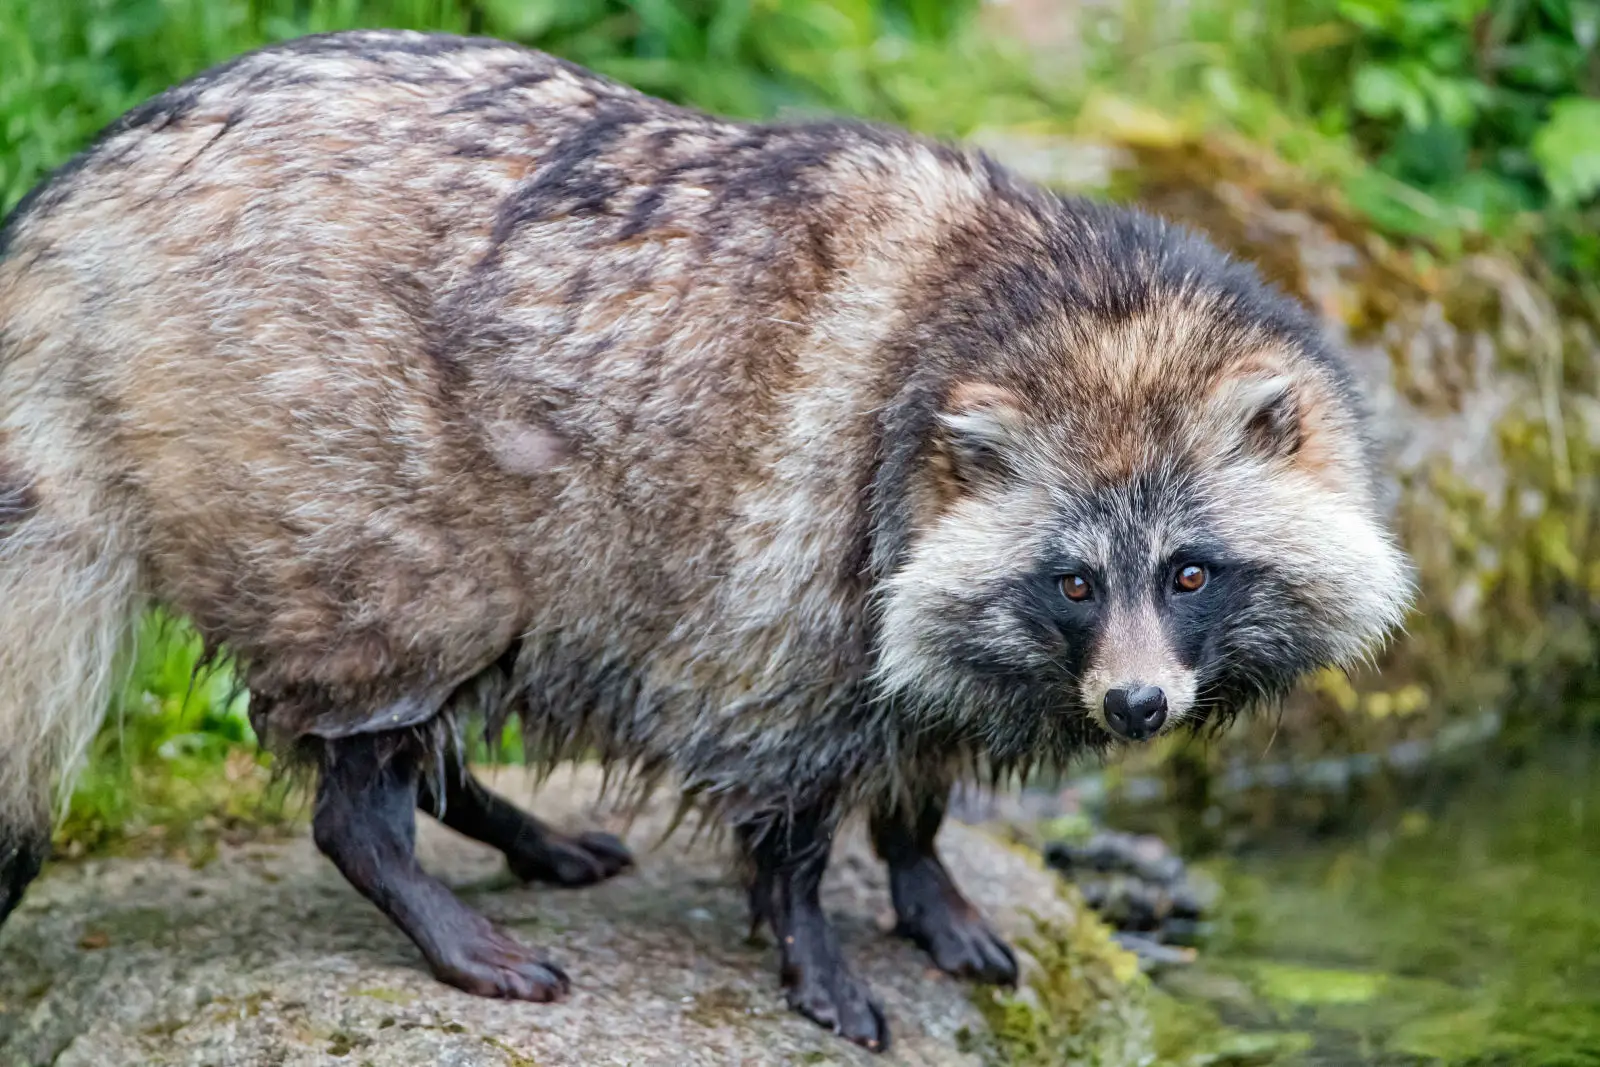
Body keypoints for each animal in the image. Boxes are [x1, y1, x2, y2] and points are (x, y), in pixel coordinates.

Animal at [0, 30, 1412, 1050]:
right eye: (1072, 581)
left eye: (1189, 571)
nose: (1134, 706)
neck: (1046, 300)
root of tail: (87, 199)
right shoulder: (803, 560)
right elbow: (790, 787)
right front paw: (810, 931)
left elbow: (921, 745)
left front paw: (924, 871)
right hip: (341, 489)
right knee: (380, 704)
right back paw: (414, 877)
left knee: (454, 696)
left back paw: (503, 819)